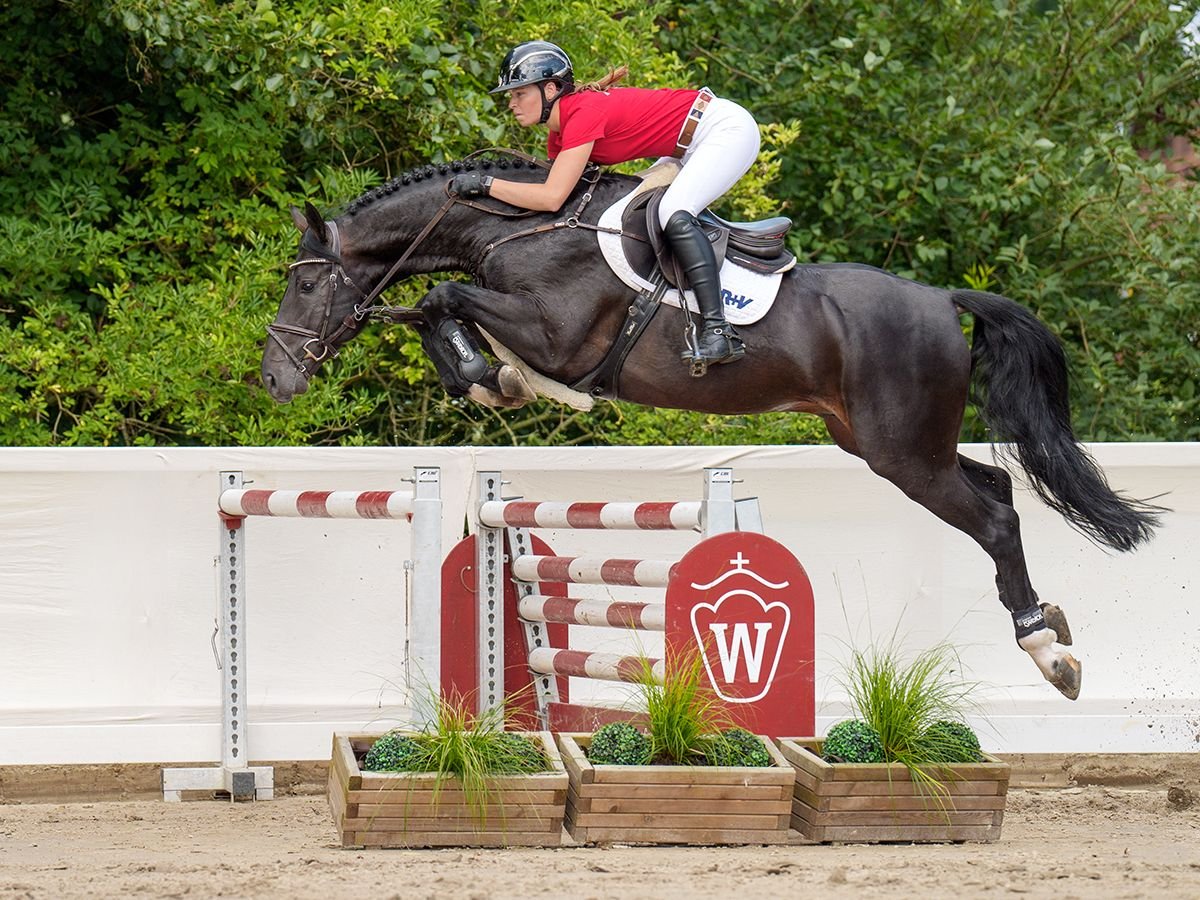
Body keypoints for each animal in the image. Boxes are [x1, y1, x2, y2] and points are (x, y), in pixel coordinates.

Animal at [262, 151, 1161, 700]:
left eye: (304, 285)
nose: (274, 378)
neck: (515, 226)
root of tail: (943, 298)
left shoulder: (558, 332)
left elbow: (446, 299)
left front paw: (498, 378)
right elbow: (436, 309)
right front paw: (490, 382)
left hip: (905, 454)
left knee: (997, 518)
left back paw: (1050, 653)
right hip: (886, 445)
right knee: (1000, 484)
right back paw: (1048, 627)